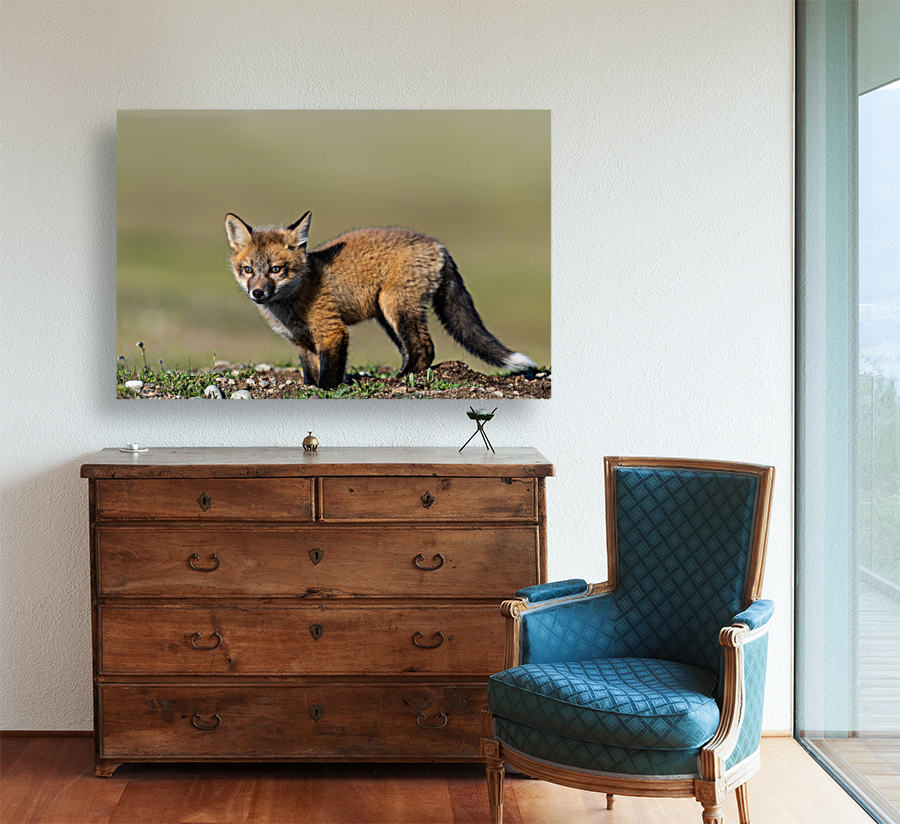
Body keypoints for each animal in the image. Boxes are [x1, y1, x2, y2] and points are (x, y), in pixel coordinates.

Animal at [224, 211, 536, 390]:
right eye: (248, 270)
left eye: (276, 269)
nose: (258, 293)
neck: (292, 301)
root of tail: (437, 244)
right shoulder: (301, 341)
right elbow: (310, 373)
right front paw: (309, 387)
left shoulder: (332, 331)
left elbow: (329, 374)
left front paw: (325, 391)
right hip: (386, 317)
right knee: (413, 350)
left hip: (396, 307)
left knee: (424, 349)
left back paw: (400, 380)